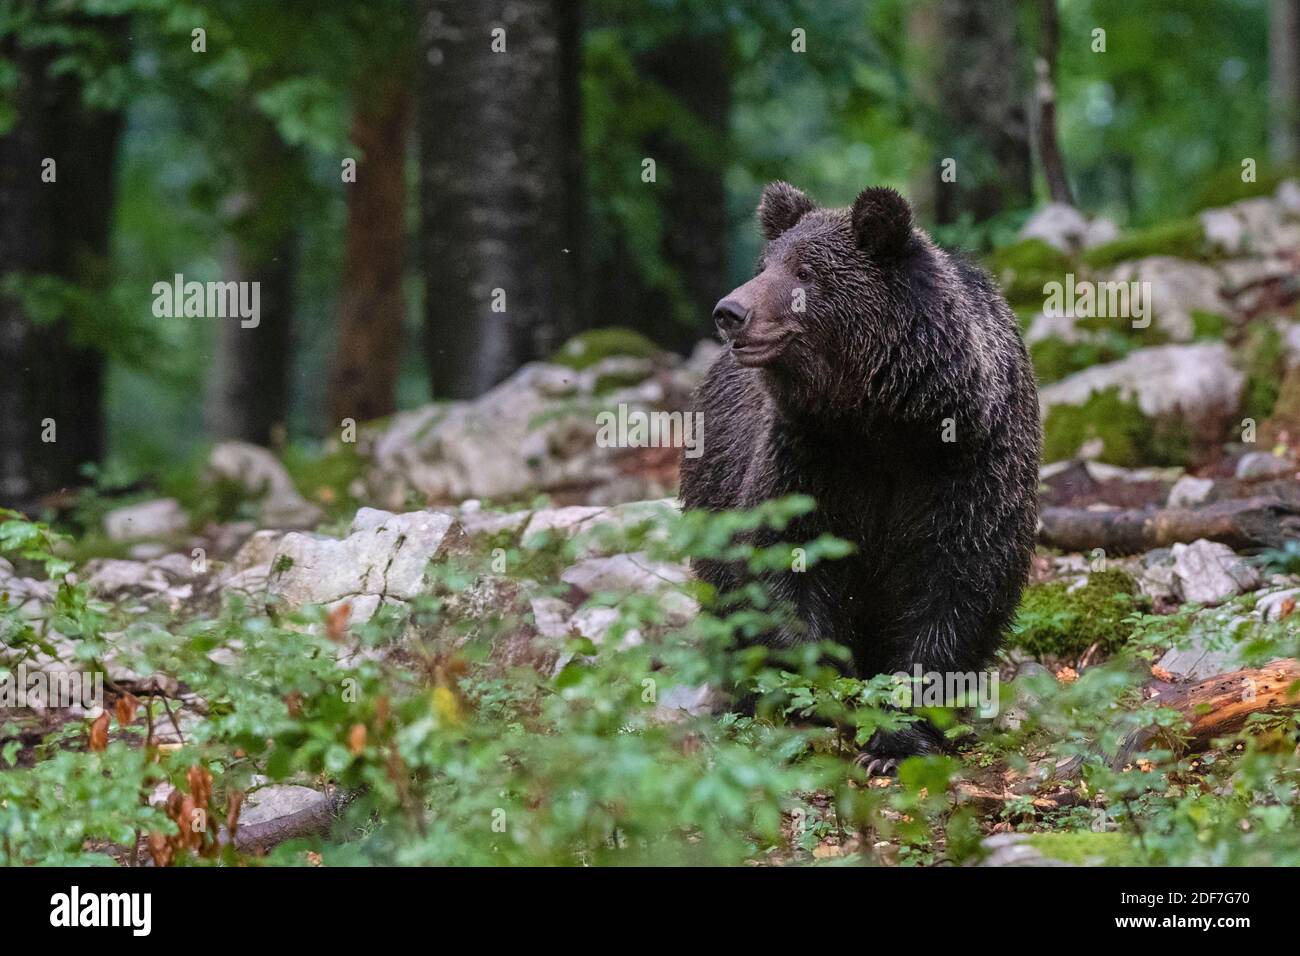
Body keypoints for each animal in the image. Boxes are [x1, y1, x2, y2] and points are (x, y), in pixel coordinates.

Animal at [676, 180, 1040, 770]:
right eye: (765, 264)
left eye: (804, 271)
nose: (730, 311)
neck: (882, 420)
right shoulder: (810, 462)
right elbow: (787, 568)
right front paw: (833, 695)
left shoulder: (968, 464)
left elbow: (959, 584)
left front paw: (896, 739)